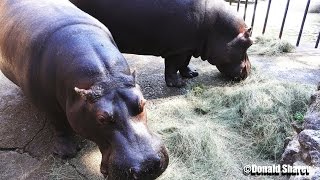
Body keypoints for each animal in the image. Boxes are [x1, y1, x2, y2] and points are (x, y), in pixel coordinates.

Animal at [0, 0, 169, 179]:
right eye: (101, 118)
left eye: (142, 103)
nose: (148, 167)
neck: (104, 79)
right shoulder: (48, 106)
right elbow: (58, 123)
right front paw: (66, 152)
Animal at [71, 0, 254, 87]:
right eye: (249, 43)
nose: (249, 70)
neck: (215, 27)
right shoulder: (178, 49)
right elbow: (173, 66)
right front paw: (178, 84)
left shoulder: (188, 46)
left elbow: (185, 64)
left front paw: (192, 74)